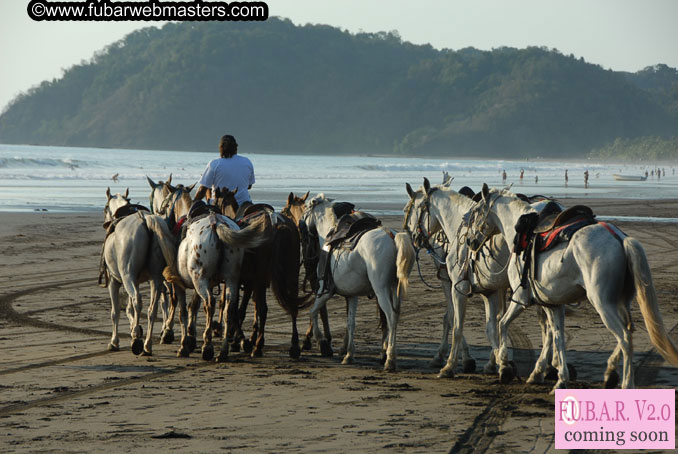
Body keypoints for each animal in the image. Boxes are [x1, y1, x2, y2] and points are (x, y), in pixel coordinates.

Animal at [215, 188, 316, 358]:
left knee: (263, 309)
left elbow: (235, 309)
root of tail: (277, 226)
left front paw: (240, 340)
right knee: (292, 305)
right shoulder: (251, 282)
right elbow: (245, 309)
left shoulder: (243, 281)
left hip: (261, 278)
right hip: (292, 273)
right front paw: (245, 338)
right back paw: (294, 346)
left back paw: (257, 347)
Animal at [302, 193, 418, 370]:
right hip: (394, 288)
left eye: (307, 208)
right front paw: (349, 354)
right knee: (395, 315)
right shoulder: (352, 295)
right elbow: (351, 323)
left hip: (381, 289)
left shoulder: (324, 291)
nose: (301, 224)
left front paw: (321, 341)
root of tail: (391, 236)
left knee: (390, 316)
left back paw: (390, 359)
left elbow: (312, 312)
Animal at [468, 184, 678, 390]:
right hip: (621, 302)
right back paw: (610, 372)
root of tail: (619, 238)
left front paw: (504, 367)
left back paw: (626, 383)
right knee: (630, 329)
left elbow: (502, 324)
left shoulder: (520, 298)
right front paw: (559, 378)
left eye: (476, 211)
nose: (471, 242)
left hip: (602, 303)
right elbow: (557, 336)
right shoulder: (552, 305)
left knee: (625, 338)